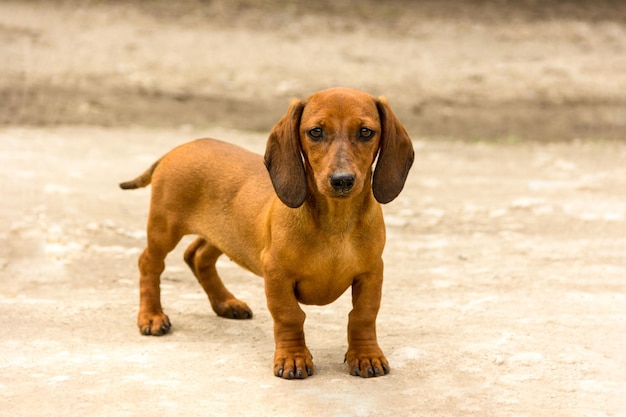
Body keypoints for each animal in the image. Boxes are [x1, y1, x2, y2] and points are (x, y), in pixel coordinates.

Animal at [120, 87, 414, 376]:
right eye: (315, 132)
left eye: (366, 132)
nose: (342, 180)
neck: (337, 221)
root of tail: (178, 149)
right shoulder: (276, 273)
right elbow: (290, 316)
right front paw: (293, 358)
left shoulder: (371, 272)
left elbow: (363, 315)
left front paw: (366, 356)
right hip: (164, 228)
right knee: (149, 263)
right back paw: (151, 316)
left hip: (226, 235)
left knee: (197, 256)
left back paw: (226, 303)